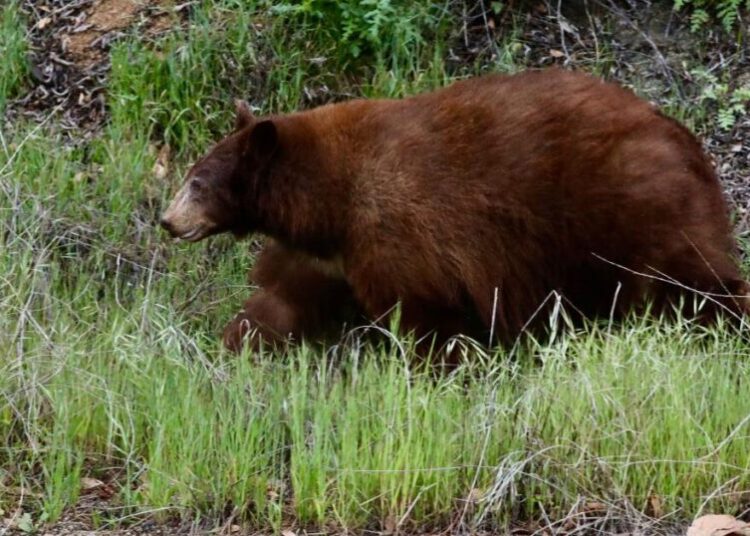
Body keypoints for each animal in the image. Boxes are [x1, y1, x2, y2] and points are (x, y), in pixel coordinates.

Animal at [160, 68, 749, 358]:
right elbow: (281, 300)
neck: (327, 196)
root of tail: (684, 139)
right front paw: (232, 346)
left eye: (196, 182)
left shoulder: (395, 231)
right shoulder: (327, 253)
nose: (168, 221)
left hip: (635, 205)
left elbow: (423, 315)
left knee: (693, 279)